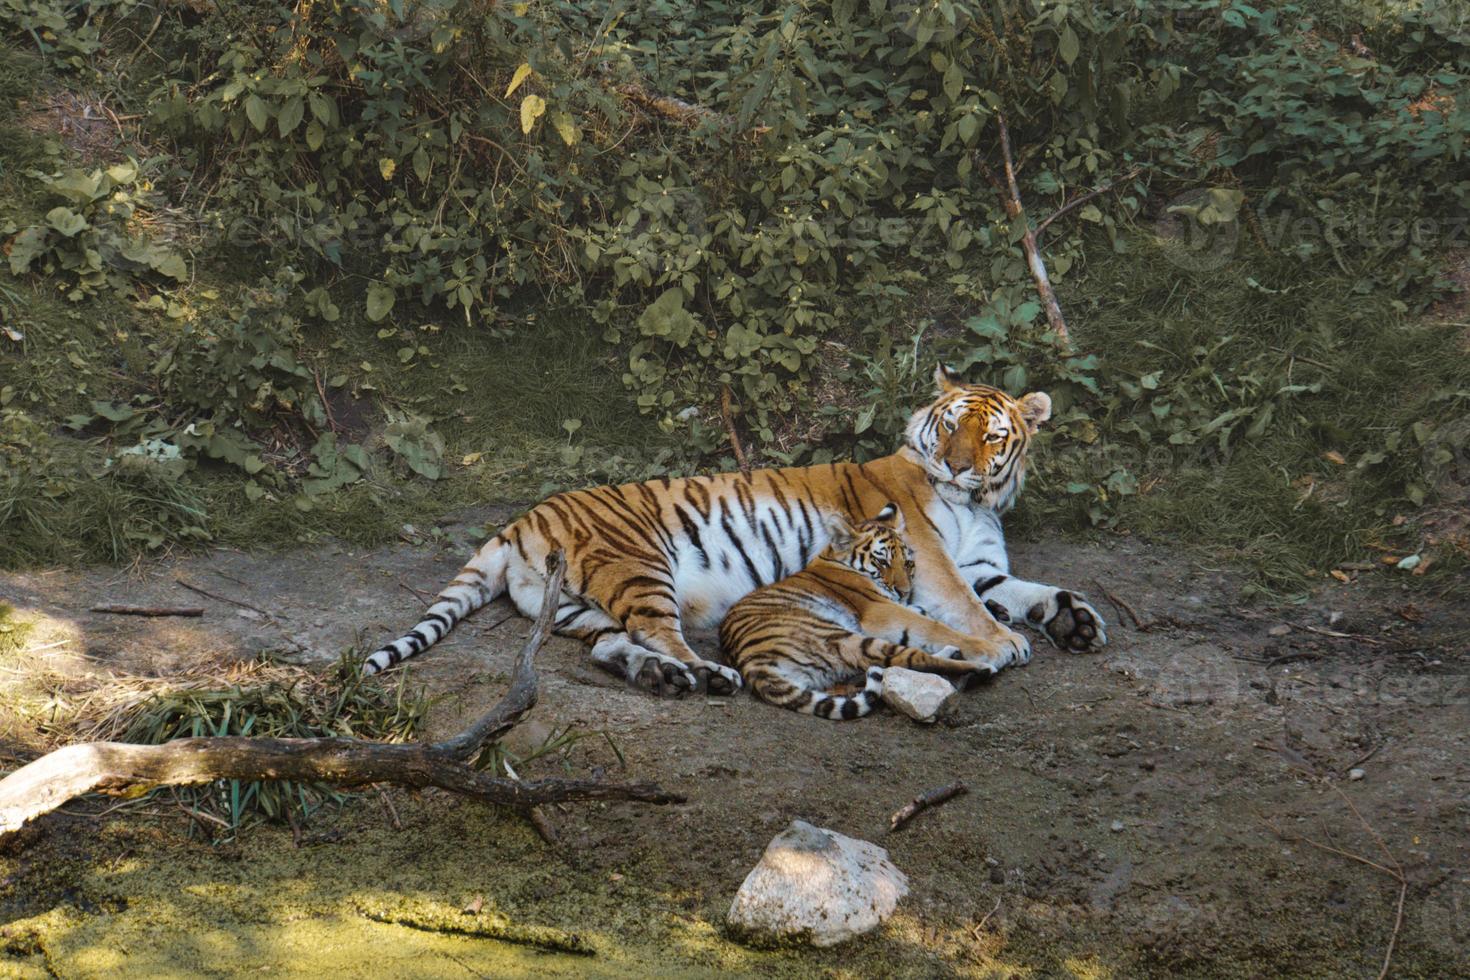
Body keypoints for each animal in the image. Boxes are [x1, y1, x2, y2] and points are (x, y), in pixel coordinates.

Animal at [364, 364, 1105, 693]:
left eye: (993, 437)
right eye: (951, 425)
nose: (955, 464)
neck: (977, 501)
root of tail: (521, 521)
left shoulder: (981, 561)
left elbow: (1021, 589)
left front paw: (1073, 621)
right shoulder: (933, 556)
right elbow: (965, 608)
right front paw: (1003, 645)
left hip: (576, 606)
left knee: (613, 646)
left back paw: (663, 677)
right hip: (641, 566)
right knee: (660, 632)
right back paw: (708, 674)